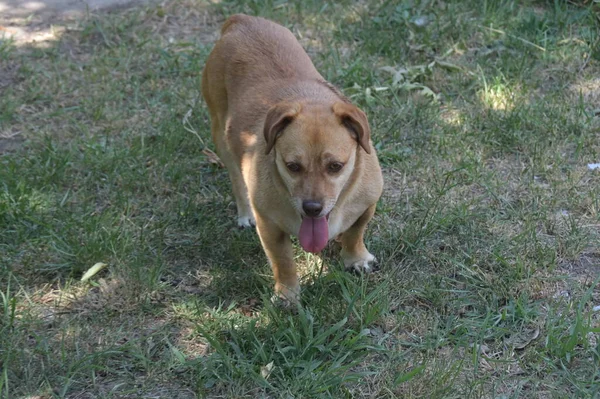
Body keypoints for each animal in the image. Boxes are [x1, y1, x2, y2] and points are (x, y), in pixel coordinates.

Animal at [199, 14, 382, 304]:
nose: (312, 208)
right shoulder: (270, 228)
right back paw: (244, 212)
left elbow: (355, 233)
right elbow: (283, 261)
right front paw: (287, 294)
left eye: (335, 167)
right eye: (292, 166)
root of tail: (242, 20)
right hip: (221, 134)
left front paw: (356, 259)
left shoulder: (367, 206)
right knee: (236, 178)